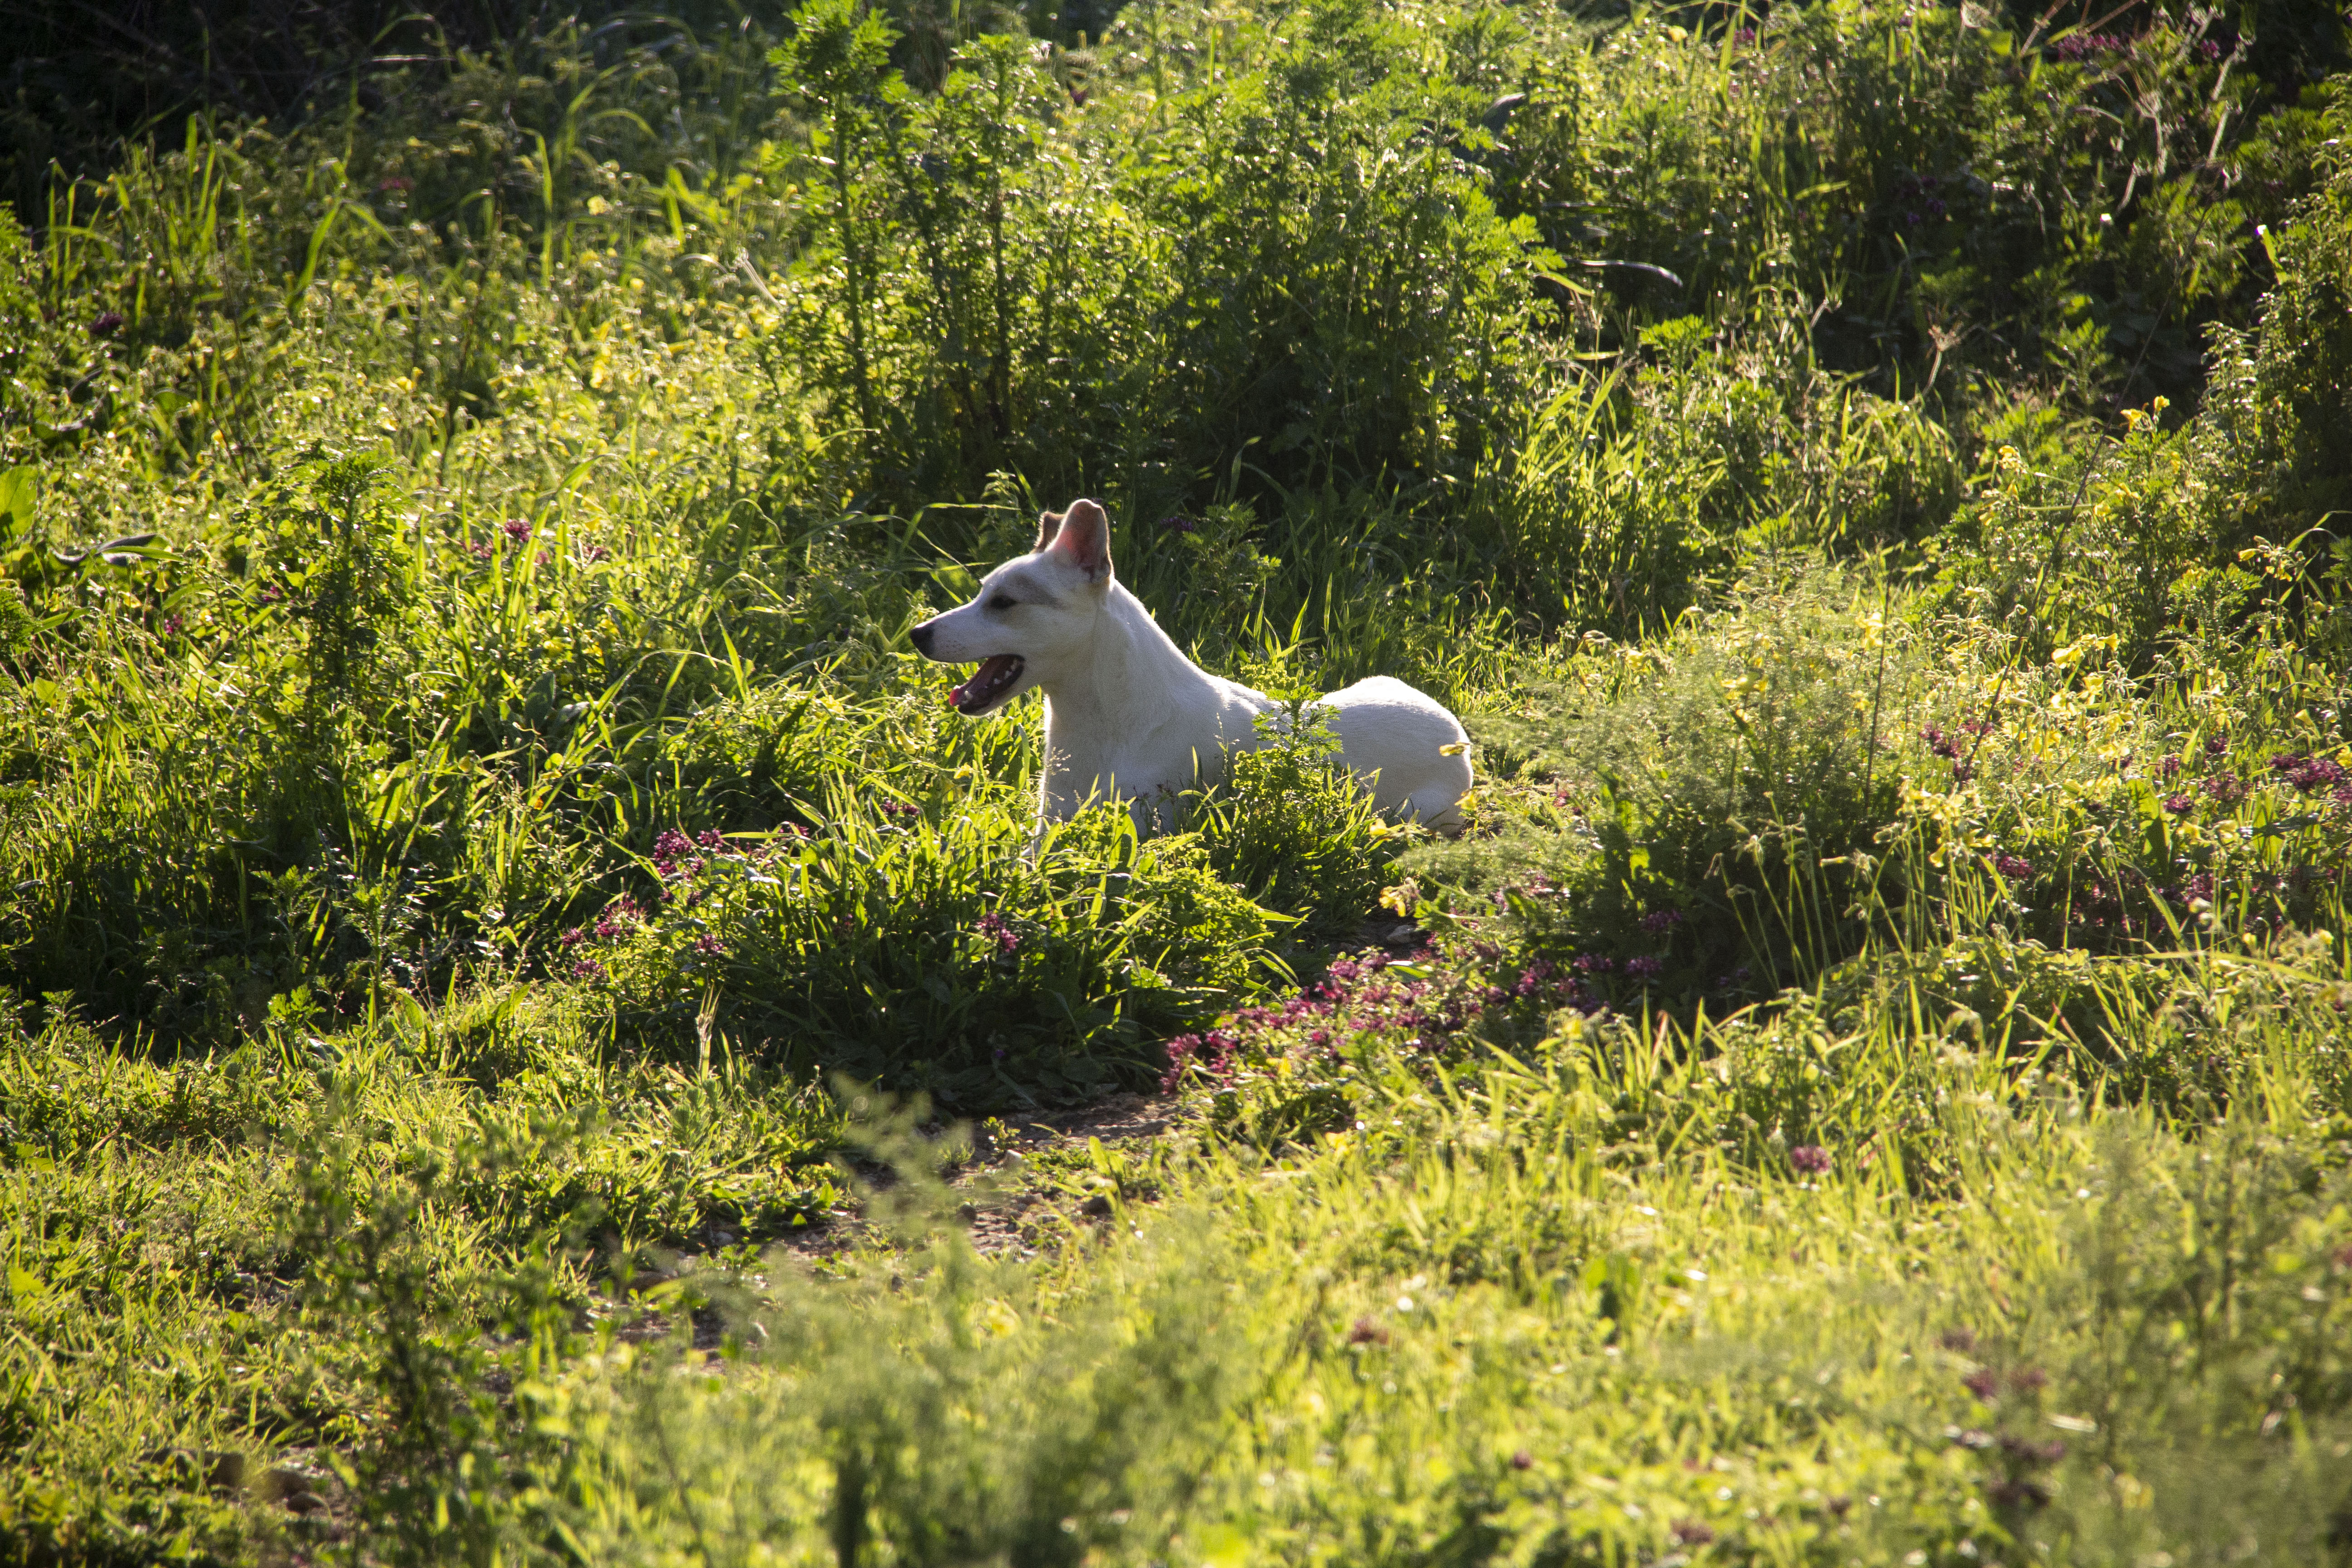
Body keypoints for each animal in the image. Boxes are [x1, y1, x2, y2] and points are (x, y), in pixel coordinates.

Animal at [909, 499, 1472, 832]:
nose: (917, 635)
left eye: (1003, 603)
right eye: (982, 591)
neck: (1106, 723)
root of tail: (1456, 732)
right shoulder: (1048, 828)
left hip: (1420, 811)